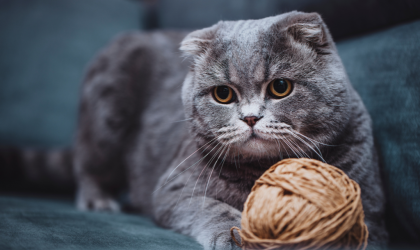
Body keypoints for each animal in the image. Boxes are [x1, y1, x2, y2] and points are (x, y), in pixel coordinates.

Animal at [0, 10, 388, 249]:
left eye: (280, 87)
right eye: (223, 94)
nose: (250, 118)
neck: (260, 169)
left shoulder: (370, 206)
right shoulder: (176, 187)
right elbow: (210, 207)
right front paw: (237, 234)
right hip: (104, 119)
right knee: (89, 167)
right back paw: (99, 200)